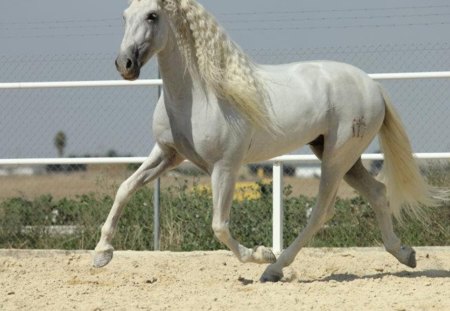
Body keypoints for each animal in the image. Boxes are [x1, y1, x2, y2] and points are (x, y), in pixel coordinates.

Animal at [94, 0, 442, 282]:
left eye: (152, 15)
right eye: (125, 15)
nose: (125, 64)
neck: (201, 95)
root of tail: (373, 86)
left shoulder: (225, 167)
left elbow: (219, 225)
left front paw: (260, 254)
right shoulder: (168, 154)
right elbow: (125, 188)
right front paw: (101, 254)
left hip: (337, 157)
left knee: (321, 211)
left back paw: (273, 268)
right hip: (340, 156)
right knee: (378, 193)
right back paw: (406, 254)